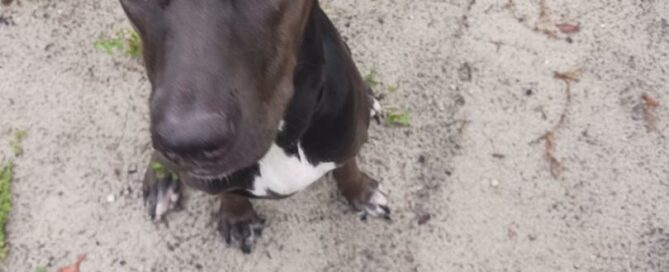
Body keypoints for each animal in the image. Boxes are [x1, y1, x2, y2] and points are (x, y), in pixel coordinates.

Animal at [121, 0, 386, 253]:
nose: (189, 145)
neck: (283, 138)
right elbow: (229, 193)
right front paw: (238, 219)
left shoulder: (344, 140)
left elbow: (348, 167)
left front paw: (362, 193)